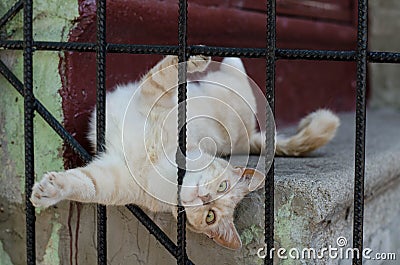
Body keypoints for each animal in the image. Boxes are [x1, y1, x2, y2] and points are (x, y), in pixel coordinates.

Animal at [29, 54, 340, 249]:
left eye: (210, 216)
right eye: (223, 185)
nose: (204, 198)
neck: (161, 165)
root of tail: (246, 138)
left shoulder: (111, 179)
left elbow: (83, 184)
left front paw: (47, 193)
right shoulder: (156, 99)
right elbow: (167, 72)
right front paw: (194, 59)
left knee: (238, 81)